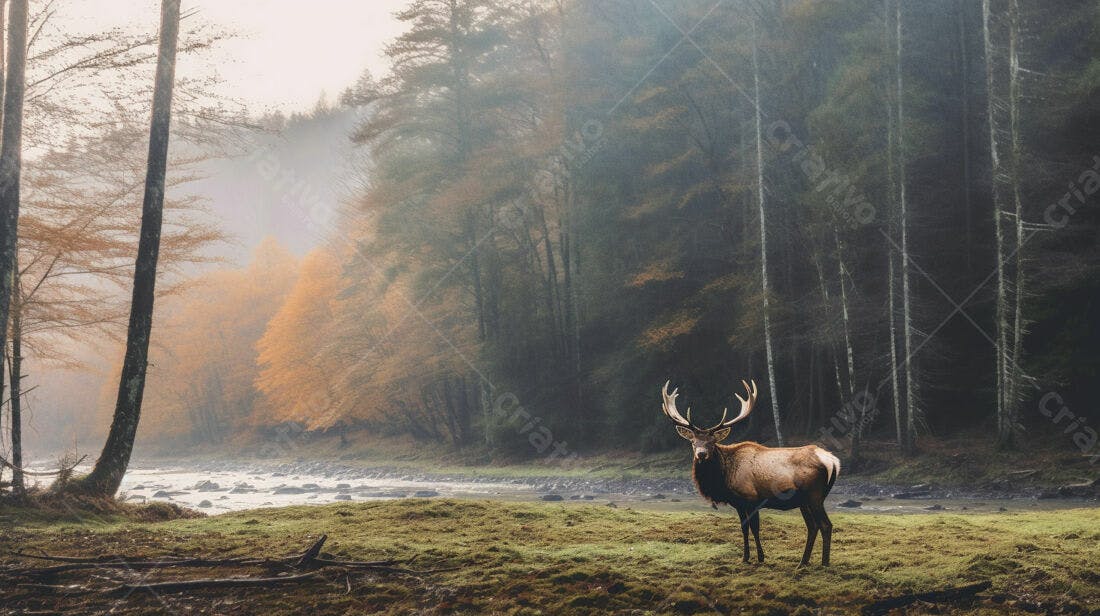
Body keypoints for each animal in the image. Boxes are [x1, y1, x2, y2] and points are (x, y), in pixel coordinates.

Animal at [661, 379, 840, 567]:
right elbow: (744, 528)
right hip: (804, 500)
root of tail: (833, 460)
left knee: (825, 525)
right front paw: (745, 557)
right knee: (813, 526)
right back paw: (802, 562)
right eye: (693, 442)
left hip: (814, 495)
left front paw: (760, 557)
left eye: (712, 442)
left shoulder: (752, 498)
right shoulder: (738, 503)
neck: (724, 479)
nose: (701, 454)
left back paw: (824, 563)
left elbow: (755, 528)